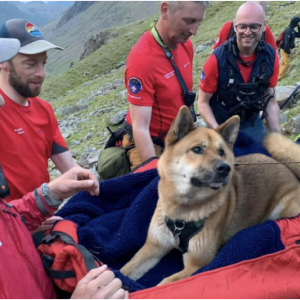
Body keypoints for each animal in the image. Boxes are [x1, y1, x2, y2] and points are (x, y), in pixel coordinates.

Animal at [119, 106, 300, 286]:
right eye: (197, 149)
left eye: (221, 152)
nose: (225, 168)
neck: (182, 213)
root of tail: (286, 168)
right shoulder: (154, 246)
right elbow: (125, 270)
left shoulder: (197, 264)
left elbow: (165, 284)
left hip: (283, 209)